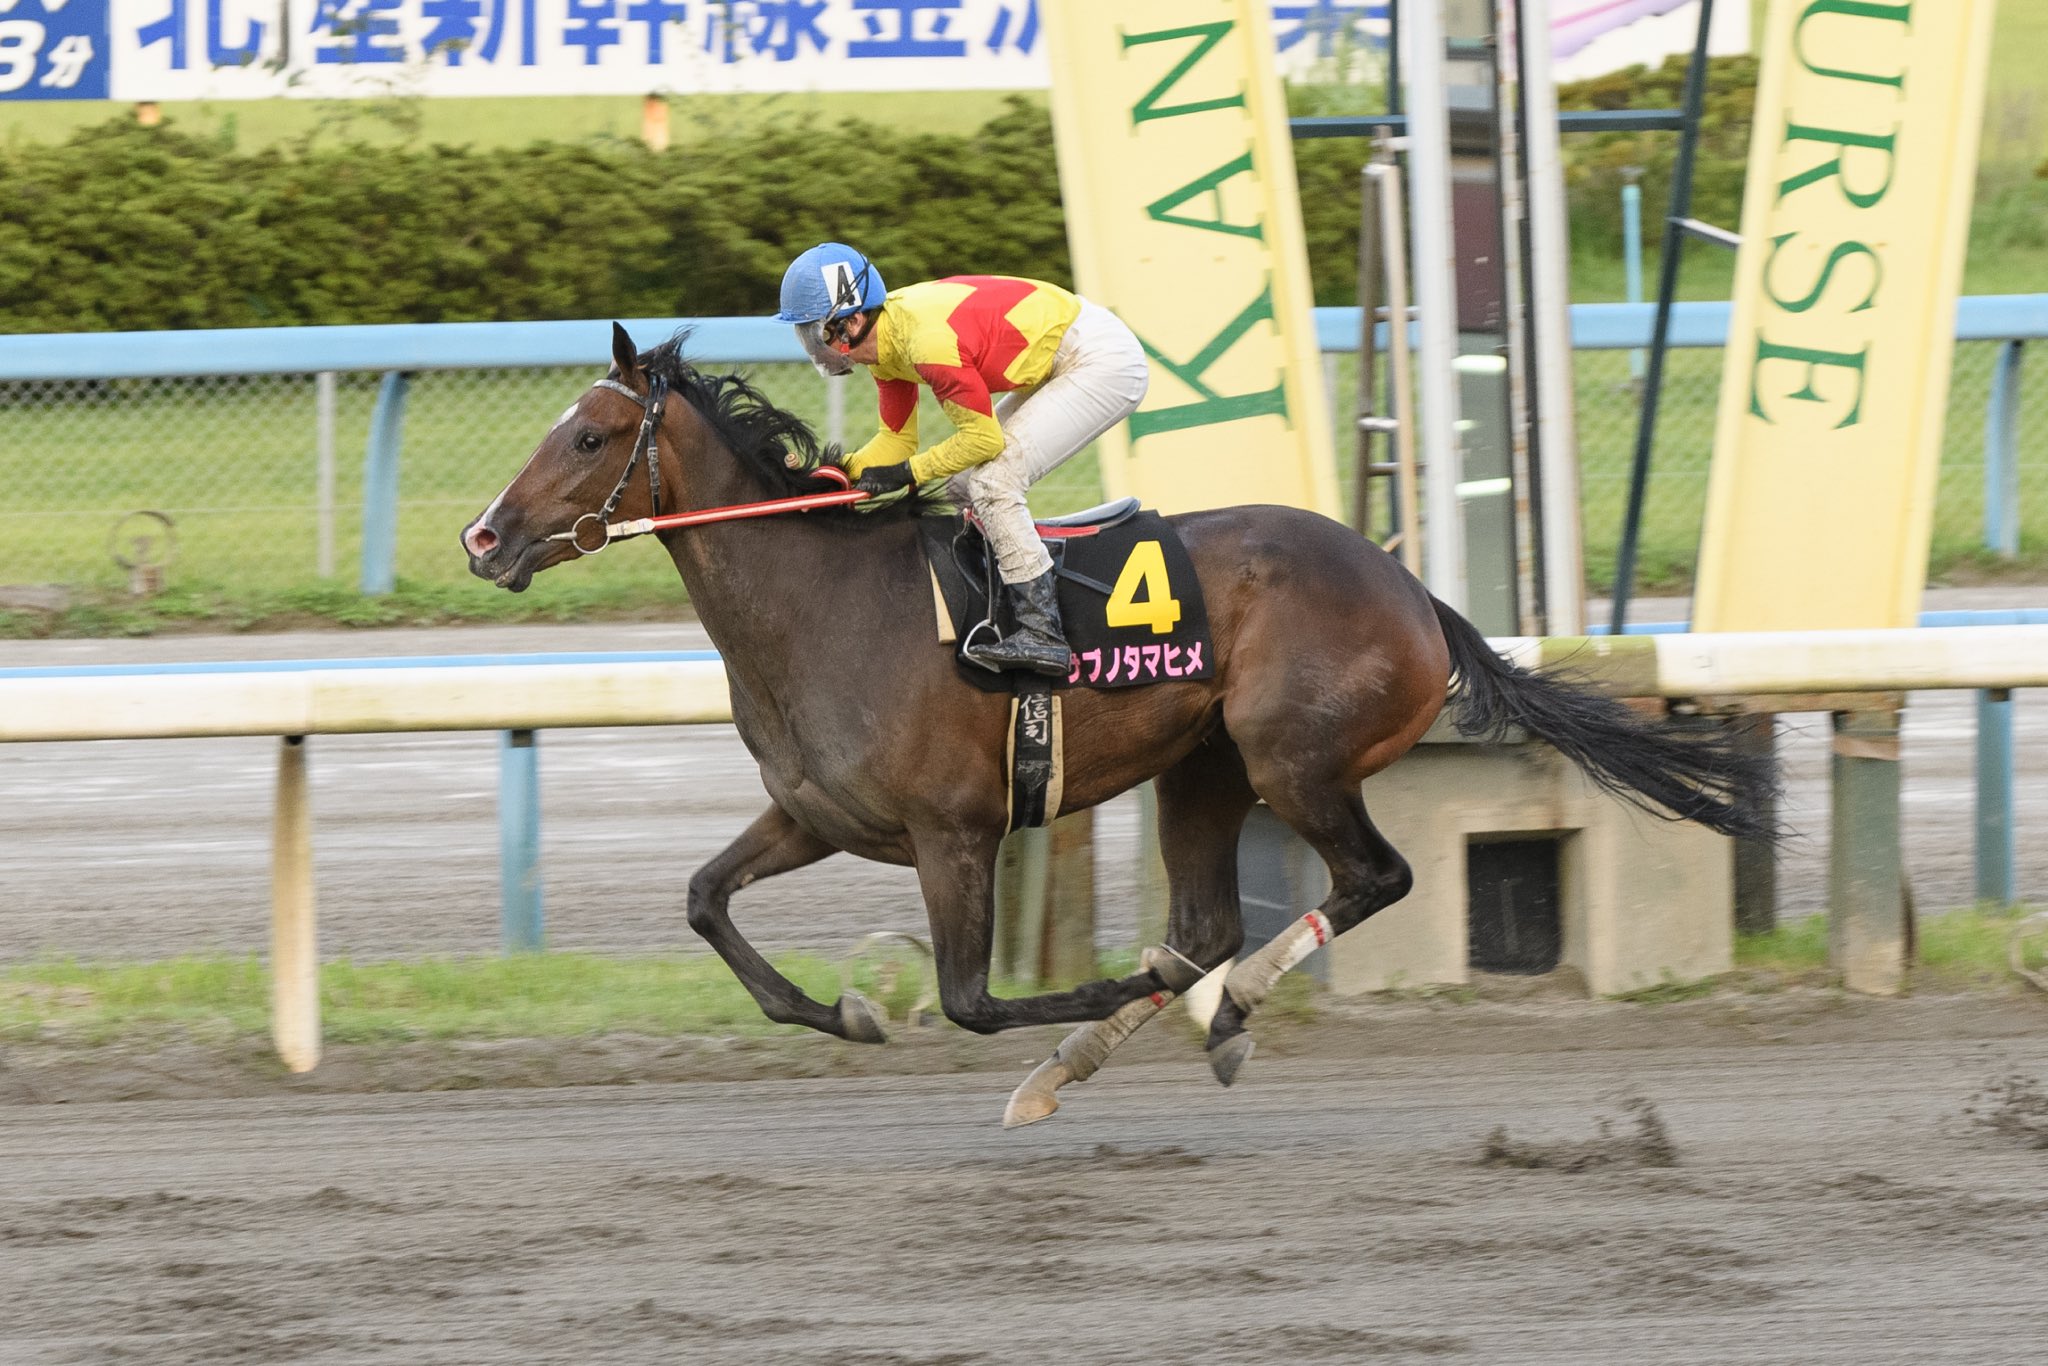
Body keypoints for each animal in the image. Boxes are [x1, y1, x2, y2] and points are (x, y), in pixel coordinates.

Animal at [461, 325, 1776, 1126]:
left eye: (587, 435)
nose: (481, 537)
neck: (824, 601)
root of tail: (1412, 591)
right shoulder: (814, 814)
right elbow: (704, 900)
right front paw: (845, 1011)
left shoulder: (952, 832)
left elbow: (973, 998)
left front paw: (1077, 998)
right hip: (1200, 768)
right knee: (1206, 921)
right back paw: (1114, 1046)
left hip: (1291, 756)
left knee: (1370, 878)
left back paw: (1222, 1010)